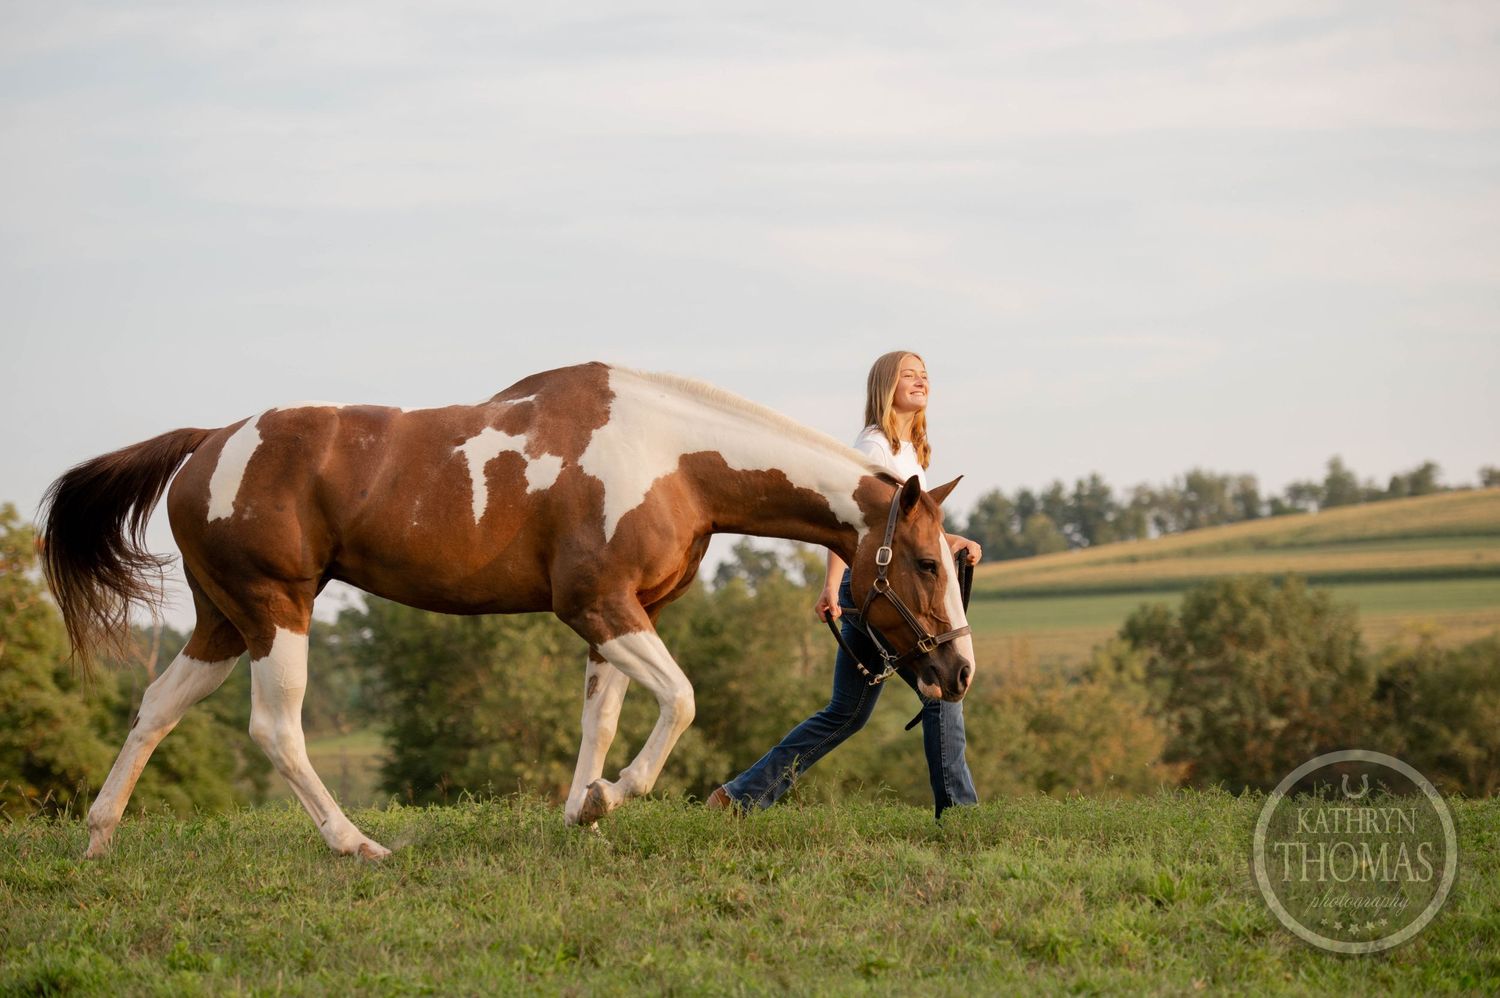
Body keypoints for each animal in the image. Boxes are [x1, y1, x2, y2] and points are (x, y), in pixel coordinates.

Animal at [40, 362, 975, 859]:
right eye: (927, 563)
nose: (957, 671)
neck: (673, 458)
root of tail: (207, 444)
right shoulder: (597, 606)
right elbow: (680, 702)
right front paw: (611, 798)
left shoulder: (616, 617)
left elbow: (603, 721)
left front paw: (581, 811)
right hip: (276, 611)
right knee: (277, 731)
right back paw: (358, 846)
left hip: (223, 621)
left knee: (155, 708)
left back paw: (99, 839)